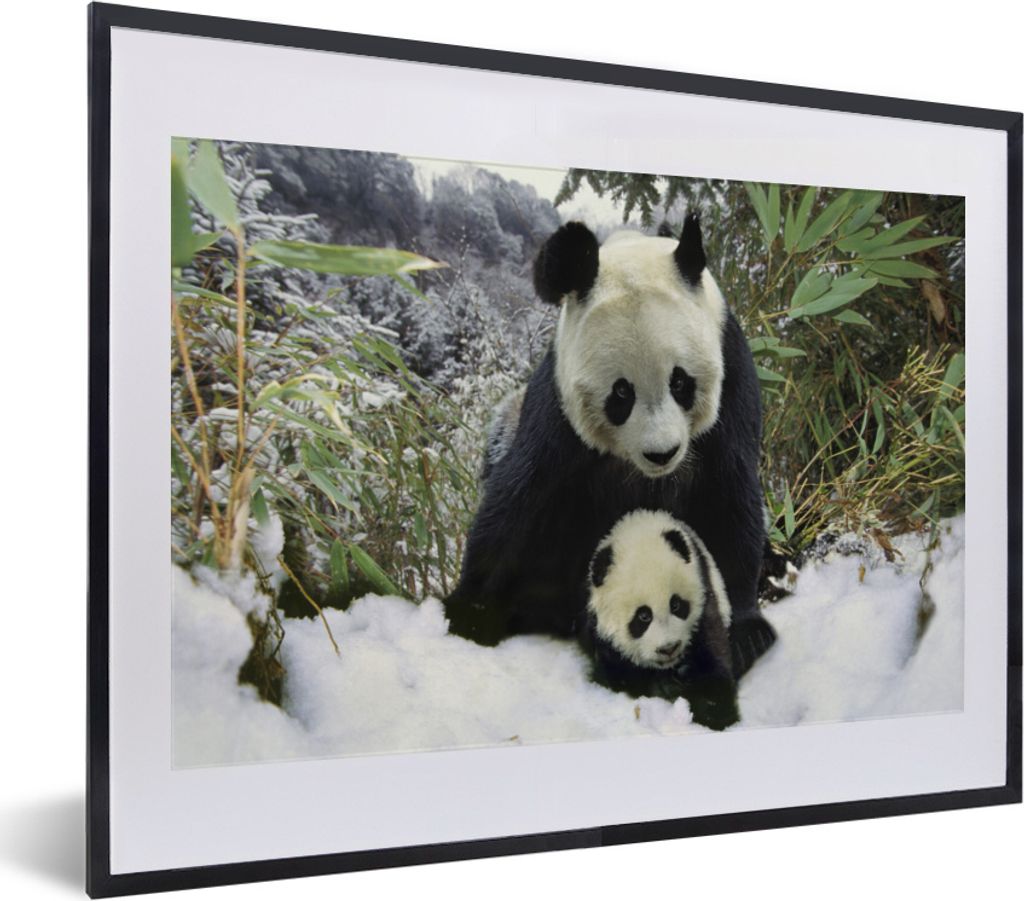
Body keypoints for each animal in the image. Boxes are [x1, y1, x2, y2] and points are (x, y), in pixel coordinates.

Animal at [444, 214, 776, 677]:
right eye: (621, 393)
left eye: (680, 382)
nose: (662, 453)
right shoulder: (558, 409)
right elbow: (519, 499)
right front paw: (471, 610)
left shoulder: (732, 379)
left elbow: (728, 495)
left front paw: (744, 633)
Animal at [579, 509, 739, 731]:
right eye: (643, 616)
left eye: (676, 605)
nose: (669, 648)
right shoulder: (600, 634)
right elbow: (619, 676)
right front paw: (665, 687)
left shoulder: (705, 600)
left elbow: (713, 656)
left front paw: (714, 712)